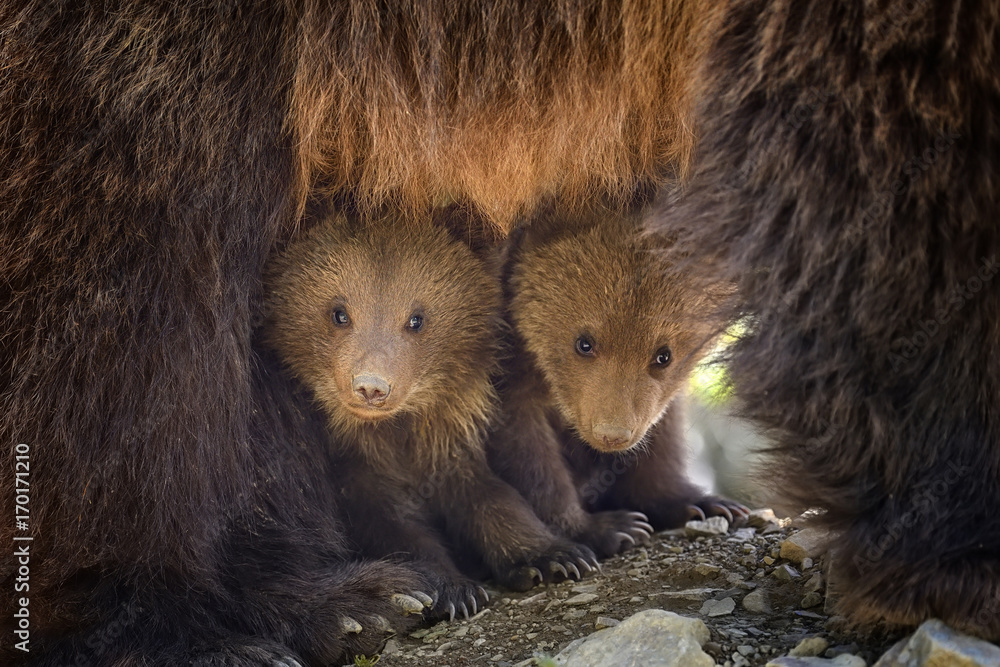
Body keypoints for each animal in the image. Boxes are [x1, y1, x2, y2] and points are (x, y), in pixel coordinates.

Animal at [262, 211, 599, 621]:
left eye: (416, 319)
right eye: (339, 313)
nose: (371, 387)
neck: (392, 430)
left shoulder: (445, 435)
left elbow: (488, 494)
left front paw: (554, 555)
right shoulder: (349, 469)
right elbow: (390, 527)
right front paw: (449, 590)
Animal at [487, 207, 748, 560]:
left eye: (663, 355)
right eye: (584, 343)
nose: (612, 434)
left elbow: (662, 435)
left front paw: (704, 504)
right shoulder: (504, 367)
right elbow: (524, 450)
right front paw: (606, 529)